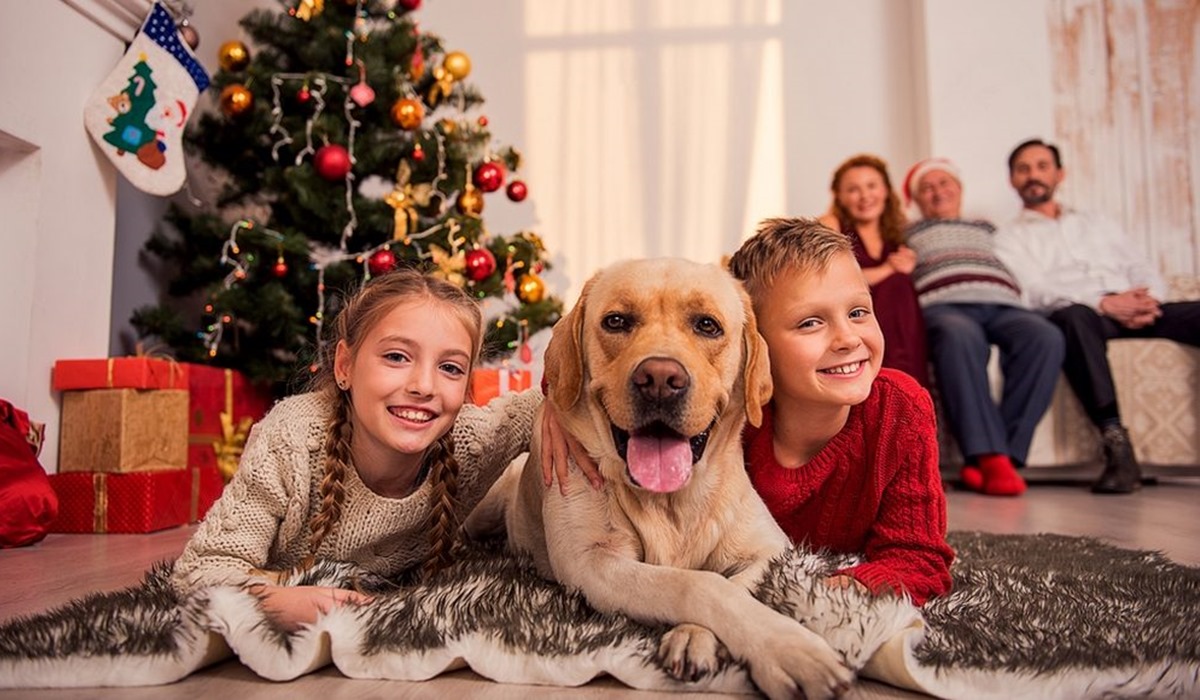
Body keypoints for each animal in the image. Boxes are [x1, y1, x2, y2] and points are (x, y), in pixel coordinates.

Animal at [468, 259, 854, 700]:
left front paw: (696, 637)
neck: (671, 501)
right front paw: (792, 649)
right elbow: (698, 584)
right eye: (616, 321)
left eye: (707, 325)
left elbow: (734, 583)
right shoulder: (593, 561)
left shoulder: (771, 550)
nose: (659, 379)